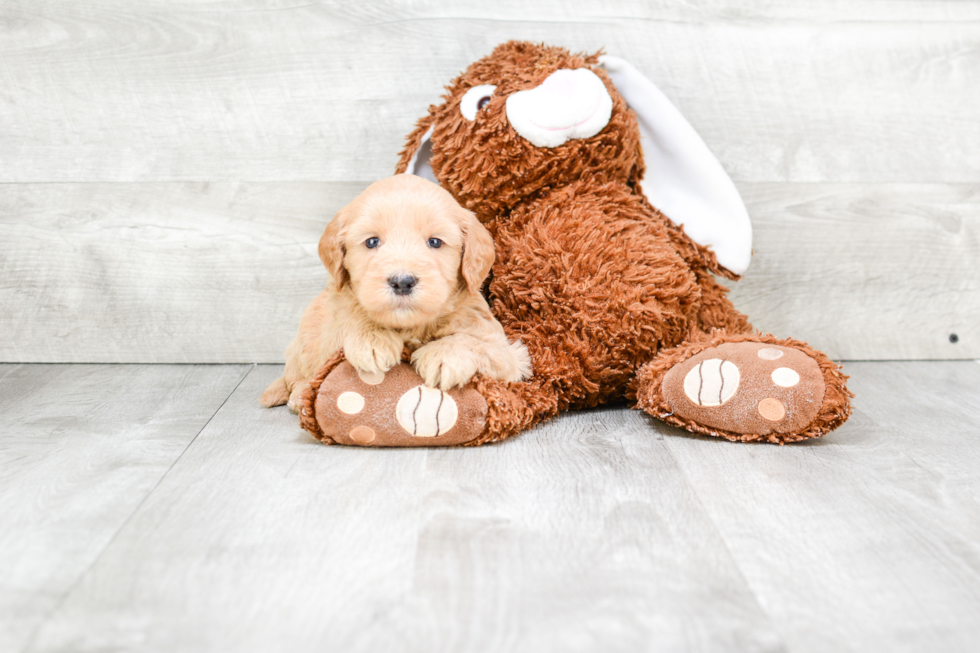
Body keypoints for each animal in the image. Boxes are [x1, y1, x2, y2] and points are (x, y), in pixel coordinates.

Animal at [258, 173, 528, 408]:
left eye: (434, 242)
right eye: (372, 242)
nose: (402, 282)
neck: (410, 327)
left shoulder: (506, 351)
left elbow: (474, 341)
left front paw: (444, 355)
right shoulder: (332, 328)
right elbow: (350, 320)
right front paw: (371, 340)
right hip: (302, 342)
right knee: (295, 378)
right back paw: (299, 396)